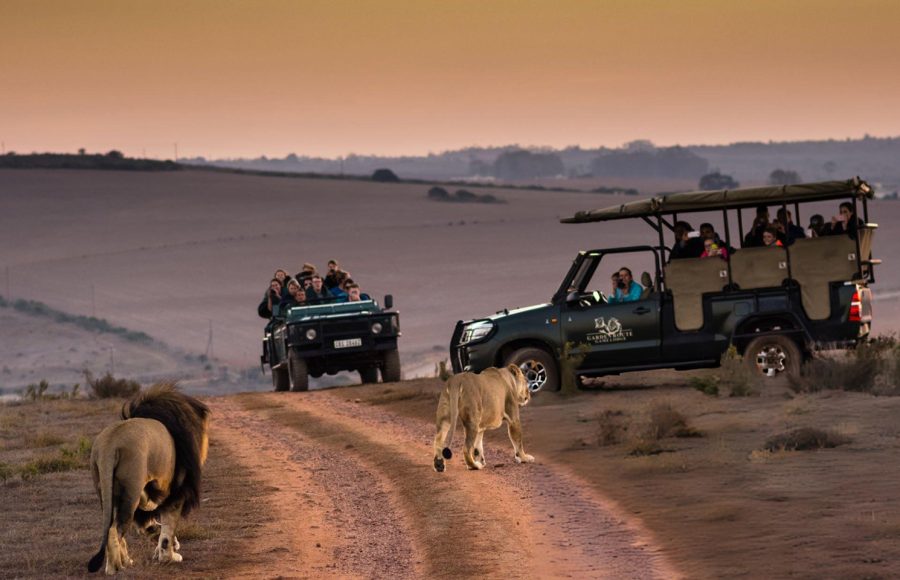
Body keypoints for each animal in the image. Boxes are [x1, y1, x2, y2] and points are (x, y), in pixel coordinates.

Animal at [87, 382, 210, 575]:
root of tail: (110, 443)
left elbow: (152, 525)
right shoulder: (176, 493)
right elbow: (168, 529)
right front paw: (169, 556)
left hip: (106, 490)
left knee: (112, 527)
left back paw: (125, 560)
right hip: (131, 491)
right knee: (115, 529)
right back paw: (115, 567)